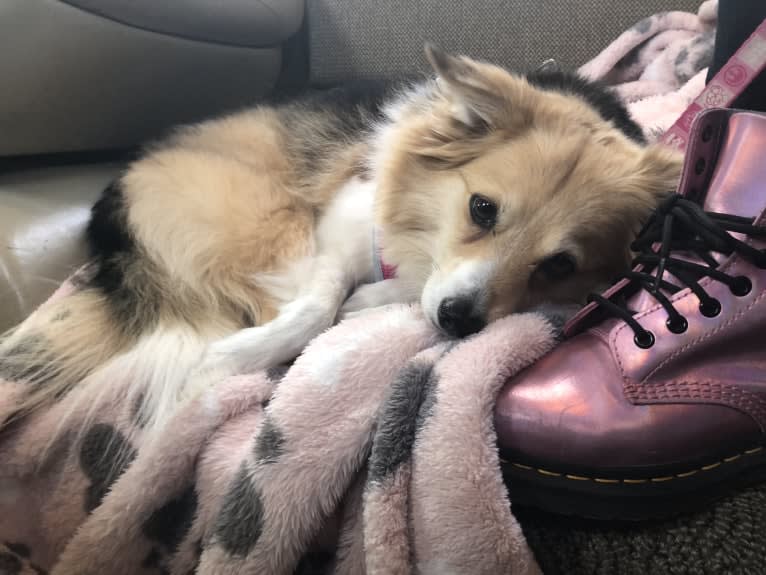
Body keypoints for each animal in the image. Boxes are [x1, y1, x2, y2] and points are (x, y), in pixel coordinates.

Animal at [0, 45, 684, 432]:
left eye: (560, 265)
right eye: (482, 209)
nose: (459, 321)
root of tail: (114, 202)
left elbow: (382, 293)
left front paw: (372, 301)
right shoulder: (341, 221)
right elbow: (318, 301)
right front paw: (232, 359)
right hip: (268, 221)